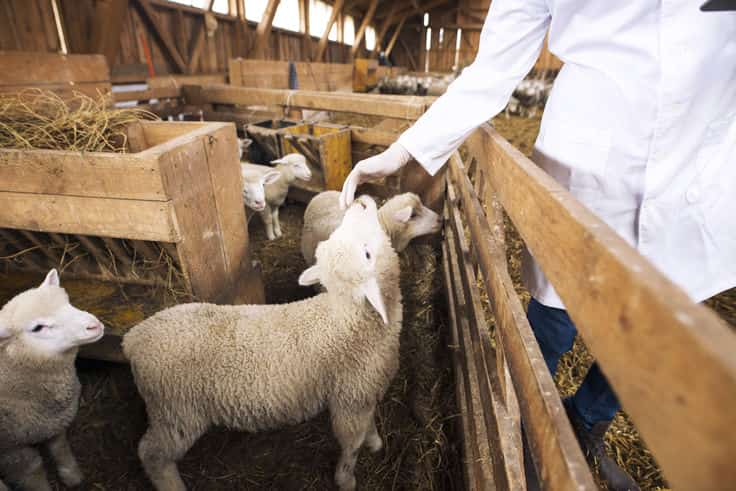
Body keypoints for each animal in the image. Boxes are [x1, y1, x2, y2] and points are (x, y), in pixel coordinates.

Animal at [0, 270, 104, 490]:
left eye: (68, 302)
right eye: (38, 327)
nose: (94, 326)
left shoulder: (54, 422)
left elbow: (60, 448)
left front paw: (72, 476)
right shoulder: (11, 449)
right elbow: (33, 469)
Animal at [125, 196, 402, 491]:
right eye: (367, 254)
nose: (361, 203)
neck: (349, 316)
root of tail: (134, 337)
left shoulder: (365, 392)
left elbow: (368, 424)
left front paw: (375, 442)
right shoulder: (350, 398)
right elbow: (351, 444)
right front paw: (346, 479)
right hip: (176, 411)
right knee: (151, 453)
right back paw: (172, 485)